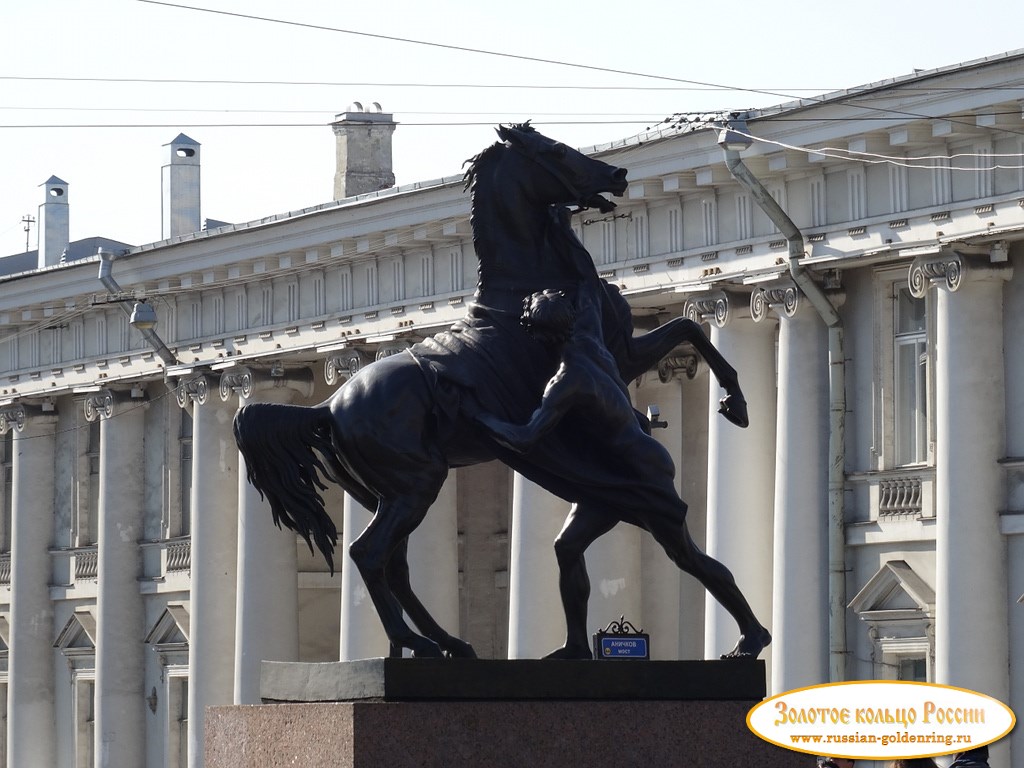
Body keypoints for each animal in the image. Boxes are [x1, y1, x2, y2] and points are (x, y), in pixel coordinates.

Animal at [235, 123, 770, 659]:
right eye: (556, 150)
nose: (618, 174)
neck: (524, 289)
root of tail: (330, 405)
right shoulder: (608, 361)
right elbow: (688, 330)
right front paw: (730, 400)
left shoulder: (624, 352)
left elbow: (689, 328)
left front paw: (736, 403)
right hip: (415, 484)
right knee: (369, 554)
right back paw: (417, 641)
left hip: (387, 493)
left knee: (395, 564)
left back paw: (448, 643)